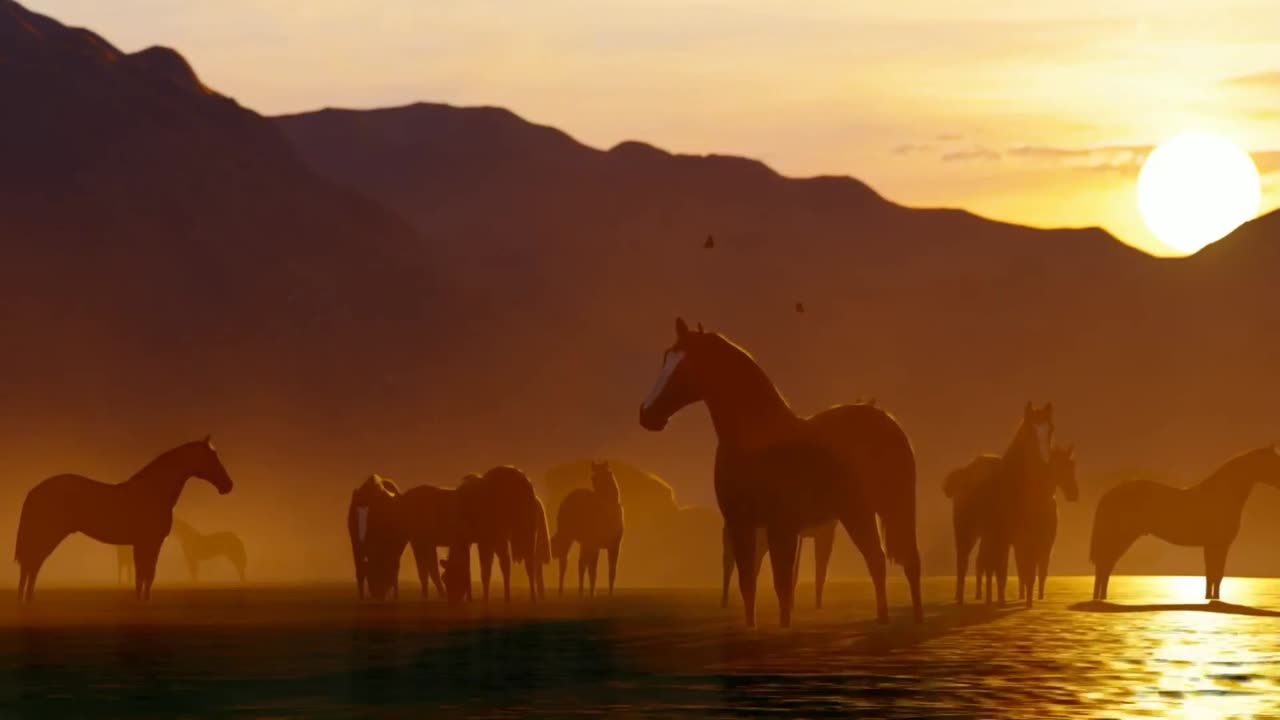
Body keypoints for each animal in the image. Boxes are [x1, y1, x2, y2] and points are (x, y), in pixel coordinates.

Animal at [14, 438, 232, 599]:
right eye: (211, 457)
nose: (228, 485)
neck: (153, 491)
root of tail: (35, 490)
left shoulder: (142, 544)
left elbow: (142, 575)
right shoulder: (150, 542)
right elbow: (147, 574)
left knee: (31, 565)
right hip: (47, 535)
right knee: (31, 564)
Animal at [440, 461, 550, 602]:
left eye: (456, 578)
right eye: (444, 578)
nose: (452, 600)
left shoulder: (484, 540)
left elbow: (484, 570)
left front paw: (485, 599)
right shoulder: (474, 541)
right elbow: (471, 567)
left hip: (515, 534)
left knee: (525, 563)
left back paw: (530, 597)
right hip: (516, 533)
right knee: (515, 563)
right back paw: (512, 597)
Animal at [552, 458, 627, 594]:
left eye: (607, 474)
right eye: (593, 478)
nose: (597, 495)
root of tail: (568, 496)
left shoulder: (614, 546)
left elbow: (612, 572)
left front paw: (610, 594)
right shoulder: (594, 544)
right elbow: (593, 572)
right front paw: (592, 594)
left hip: (584, 543)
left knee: (581, 564)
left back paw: (581, 592)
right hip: (569, 537)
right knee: (565, 562)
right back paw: (562, 592)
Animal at [634, 316, 916, 625]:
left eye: (686, 366)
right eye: (666, 358)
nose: (647, 414)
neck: (757, 441)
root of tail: (885, 420)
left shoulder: (782, 526)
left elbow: (782, 587)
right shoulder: (742, 525)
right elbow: (749, 585)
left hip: (889, 508)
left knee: (907, 561)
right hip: (858, 513)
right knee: (876, 560)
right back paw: (883, 618)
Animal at [1090, 443, 1280, 599]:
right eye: (1274, 462)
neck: (1221, 495)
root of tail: (1109, 494)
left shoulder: (1213, 546)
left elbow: (1213, 575)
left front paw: (1211, 598)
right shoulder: (1218, 545)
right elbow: (1216, 574)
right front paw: (1213, 599)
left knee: (1105, 566)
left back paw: (1102, 597)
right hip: (1119, 539)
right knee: (1104, 565)